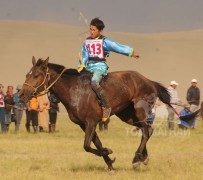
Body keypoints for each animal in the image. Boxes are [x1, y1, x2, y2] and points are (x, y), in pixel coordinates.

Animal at [18, 57, 170, 171]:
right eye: (27, 74)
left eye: (36, 75)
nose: (21, 95)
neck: (74, 90)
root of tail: (149, 81)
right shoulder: (83, 124)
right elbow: (97, 143)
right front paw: (110, 164)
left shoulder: (91, 122)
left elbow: (87, 145)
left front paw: (109, 152)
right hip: (127, 115)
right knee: (147, 129)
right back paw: (143, 157)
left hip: (139, 110)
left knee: (146, 130)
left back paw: (137, 158)